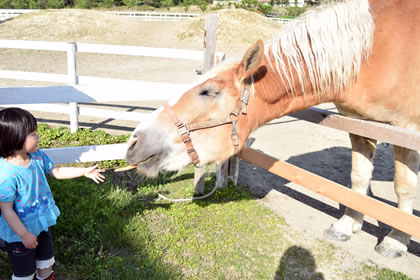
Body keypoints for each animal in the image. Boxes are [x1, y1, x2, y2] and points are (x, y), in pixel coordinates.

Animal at [126, 0, 420, 258]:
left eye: (209, 92)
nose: (134, 143)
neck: (374, 54)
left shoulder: (406, 131)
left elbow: (404, 186)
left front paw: (396, 241)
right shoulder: (360, 123)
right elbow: (358, 176)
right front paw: (347, 225)